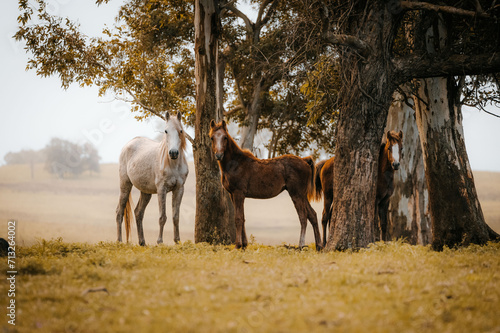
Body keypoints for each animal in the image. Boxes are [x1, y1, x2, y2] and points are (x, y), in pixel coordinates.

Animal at [115, 111, 189, 244]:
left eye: (180, 131)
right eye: (166, 131)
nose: (173, 153)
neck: (173, 164)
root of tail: (129, 144)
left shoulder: (179, 189)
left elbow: (176, 217)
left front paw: (177, 241)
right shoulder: (161, 189)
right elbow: (162, 217)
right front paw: (160, 241)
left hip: (145, 192)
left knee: (138, 212)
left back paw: (142, 242)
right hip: (125, 185)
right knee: (119, 212)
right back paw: (119, 241)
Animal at [209, 119, 322, 249]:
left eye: (225, 137)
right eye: (212, 137)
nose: (219, 155)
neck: (236, 163)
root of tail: (304, 160)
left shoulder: (238, 193)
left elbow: (238, 218)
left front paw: (238, 245)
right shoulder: (233, 194)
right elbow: (242, 218)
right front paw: (244, 245)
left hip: (296, 194)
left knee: (303, 217)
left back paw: (301, 245)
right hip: (303, 195)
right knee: (312, 215)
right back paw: (319, 245)